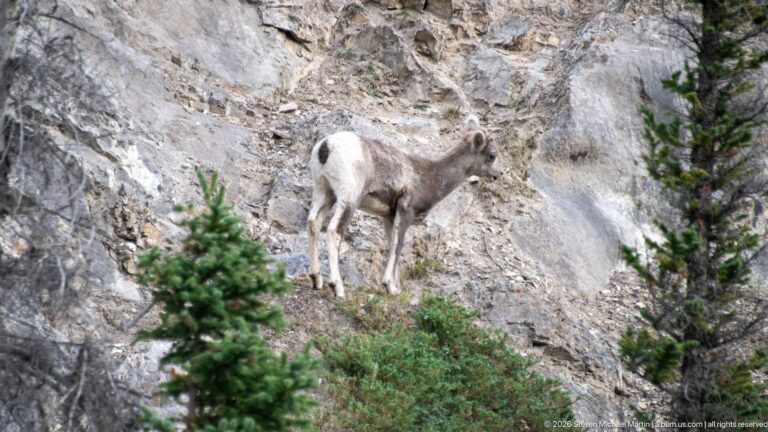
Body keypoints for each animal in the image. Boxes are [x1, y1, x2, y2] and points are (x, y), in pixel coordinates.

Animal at [306, 115, 500, 298]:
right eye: (492, 156)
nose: (498, 175)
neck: (432, 176)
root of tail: (327, 146)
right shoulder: (406, 211)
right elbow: (398, 245)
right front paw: (390, 287)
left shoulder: (389, 217)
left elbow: (392, 245)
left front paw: (395, 288)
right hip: (348, 199)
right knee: (334, 231)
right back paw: (337, 288)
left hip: (325, 193)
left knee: (313, 223)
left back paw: (316, 280)